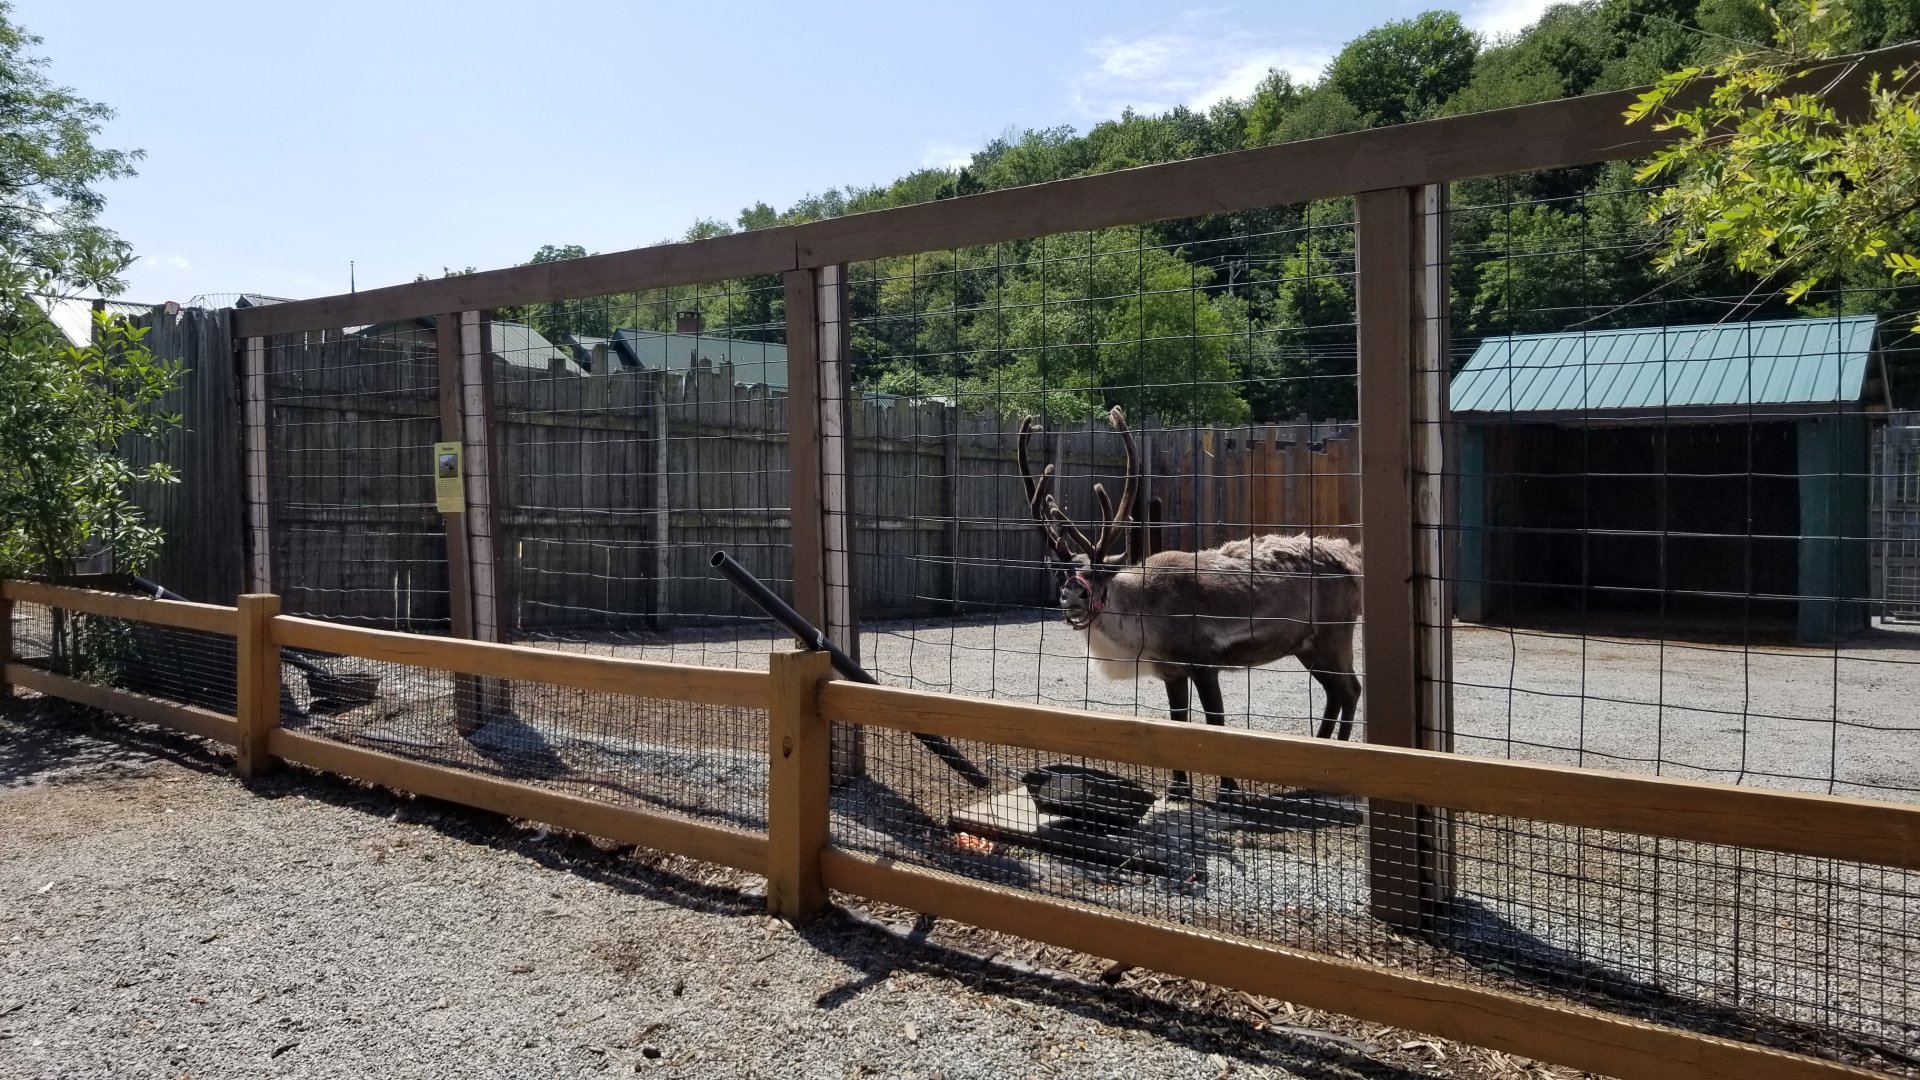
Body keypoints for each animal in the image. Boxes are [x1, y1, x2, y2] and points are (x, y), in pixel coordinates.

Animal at [1018, 406, 1363, 802]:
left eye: (1101, 572)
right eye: (1062, 575)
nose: (1074, 593)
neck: (1145, 616)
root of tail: (1350, 559)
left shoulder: (1204, 662)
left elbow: (1215, 722)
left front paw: (1228, 792)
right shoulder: (1172, 671)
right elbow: (1178, 721)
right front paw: (1177, 788)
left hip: (1334, 635)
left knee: (1350, 689)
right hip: (1306, 646)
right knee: (1334, 691)